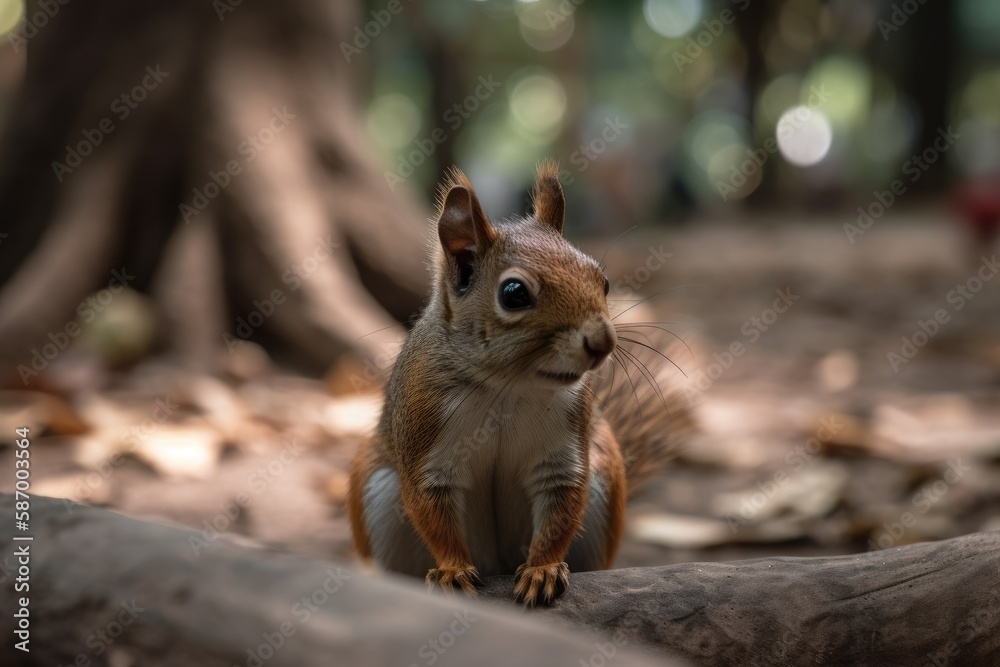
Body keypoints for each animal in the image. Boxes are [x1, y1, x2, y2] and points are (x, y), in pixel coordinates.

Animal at [348, 164, 692, 608]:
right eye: (513, 293)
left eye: (603, 281)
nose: (603, 342)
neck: (506, 388)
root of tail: (495, 561)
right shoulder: (425, 434)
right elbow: (431, 507)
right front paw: (452, 570)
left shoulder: (563, 448)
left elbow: (561, 504)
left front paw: (543, 569)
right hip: (379, 493)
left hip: (603, 482)